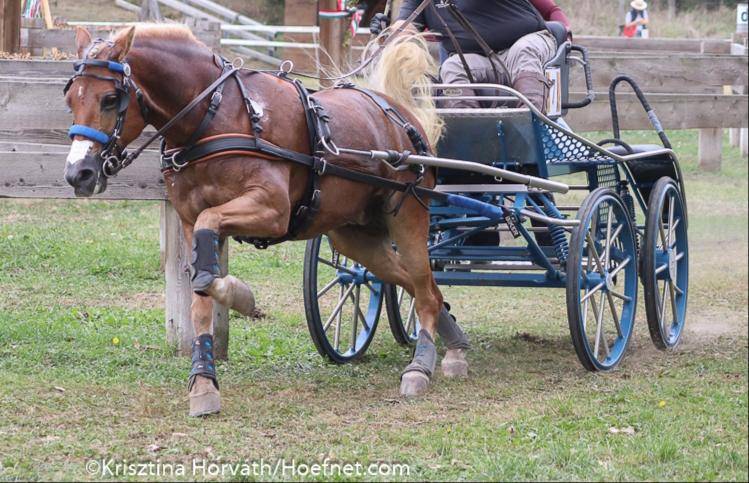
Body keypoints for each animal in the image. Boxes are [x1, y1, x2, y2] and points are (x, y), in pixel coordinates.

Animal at [62, 24, 468, 416]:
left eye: (110, 99)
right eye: (70, 99)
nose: (78, 173)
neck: (213, 116)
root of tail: (396, 111)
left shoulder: (272, 209)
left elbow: (209, 259)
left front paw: (238, 295)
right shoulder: (192, 222)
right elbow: (200, 295)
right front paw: (204, 381)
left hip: (408, 214)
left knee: (423, 287)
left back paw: (422, 364)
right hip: (354, 236)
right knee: (418, 286)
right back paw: (454, 342)